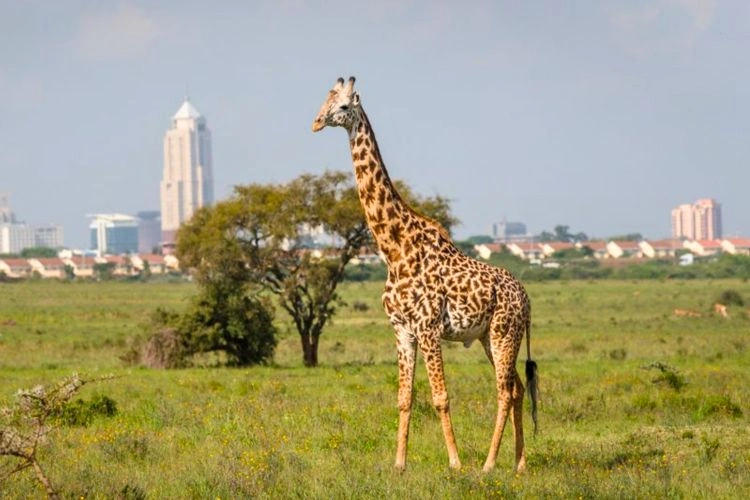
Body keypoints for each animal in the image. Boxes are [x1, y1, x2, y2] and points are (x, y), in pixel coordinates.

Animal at [312, 77, 538, 472]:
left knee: (504, 391)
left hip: (503, 332)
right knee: (517, 389)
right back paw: (519, 464)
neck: (394, 248)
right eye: (325, 101)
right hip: (488, 336)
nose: (316, 122)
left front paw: (455, 463)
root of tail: (526, 298)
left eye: (342, 106)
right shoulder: (402, 329)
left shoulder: (429, 327)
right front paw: (399, 464)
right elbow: (405, 397)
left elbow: (440, 397)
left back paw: (488, 464)